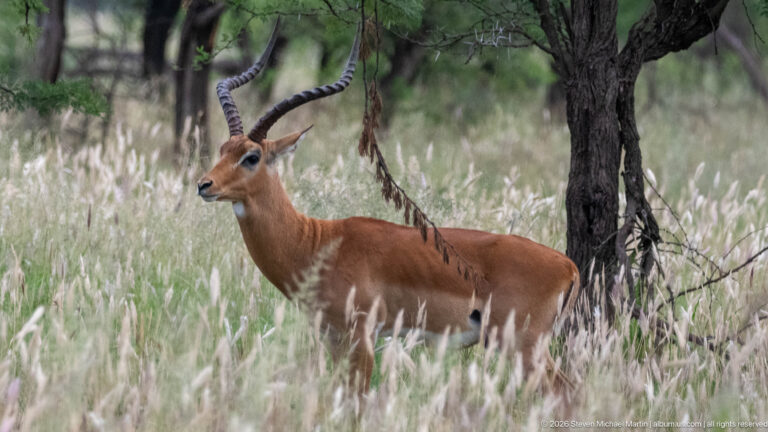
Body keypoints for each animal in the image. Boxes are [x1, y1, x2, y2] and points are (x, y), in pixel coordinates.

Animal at [197, 20, 580, 394]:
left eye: (251, 156)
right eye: (223, 149)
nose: (204, 185)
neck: (316, 242)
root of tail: (569, 266)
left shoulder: (361, 335)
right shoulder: (332, 337)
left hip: (524, 346)